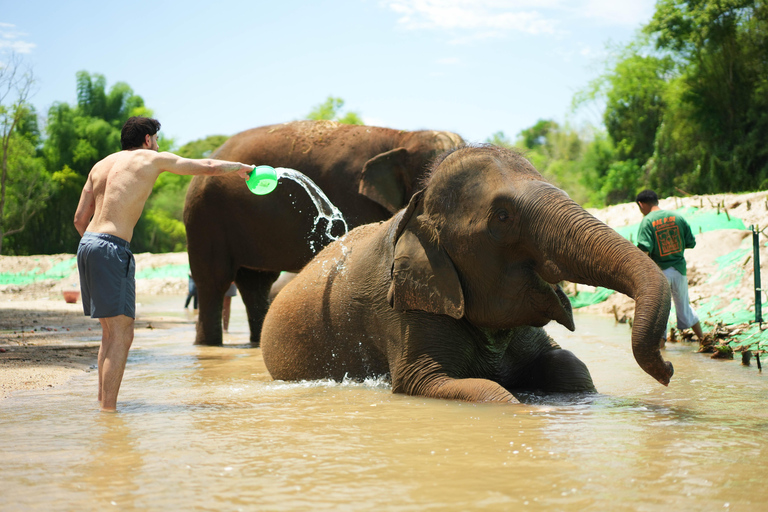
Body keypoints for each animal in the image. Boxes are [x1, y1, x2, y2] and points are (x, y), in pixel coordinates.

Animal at [183, 120, 463, 346]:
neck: (402, 137)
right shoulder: (354, 197)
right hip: (206, 219)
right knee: (214, 281)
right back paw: (208, 344)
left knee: (255, 284)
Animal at [260, 145, 674, 402]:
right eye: (502, 217)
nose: (669, 369)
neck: (418, 207)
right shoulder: (402, 309)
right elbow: (433, 382)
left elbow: (569, 365)